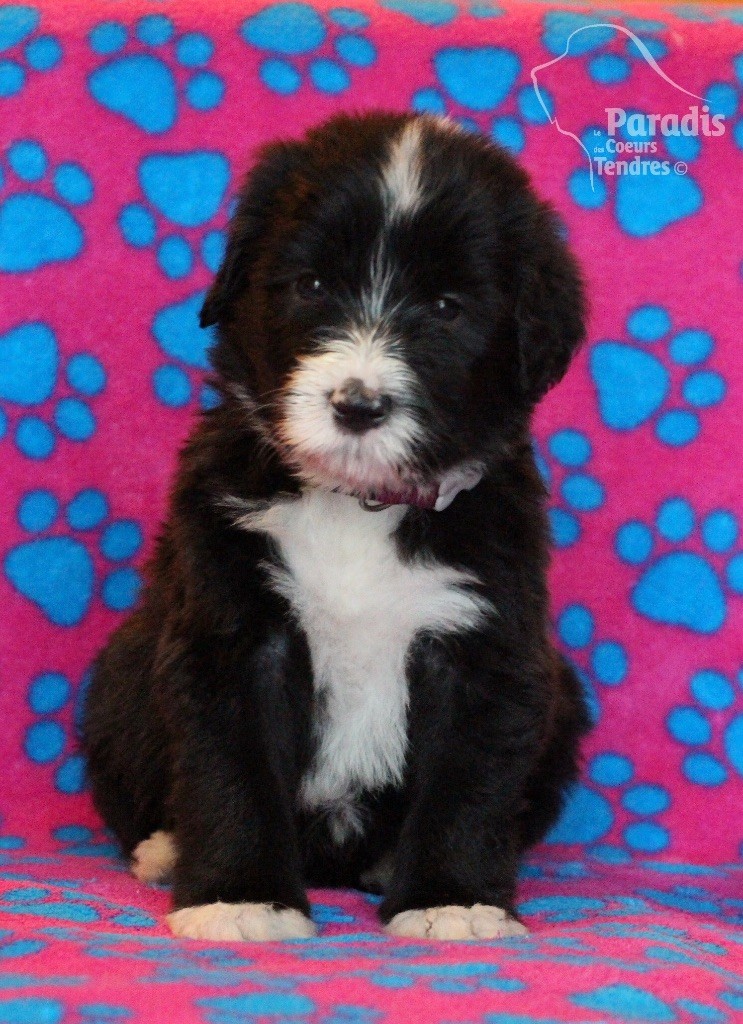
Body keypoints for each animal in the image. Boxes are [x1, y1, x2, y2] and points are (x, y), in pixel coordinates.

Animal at [82, 112, 591, 942]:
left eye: (446, 308)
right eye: (313, 285)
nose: (357, 405)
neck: (359, 504)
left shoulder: (485, 643)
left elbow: (469, 783)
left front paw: (452, 902)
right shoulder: (233, 628)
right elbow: (233, 772)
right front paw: (240, 898)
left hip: (567, 698)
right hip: (119, 677)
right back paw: (163, 849)